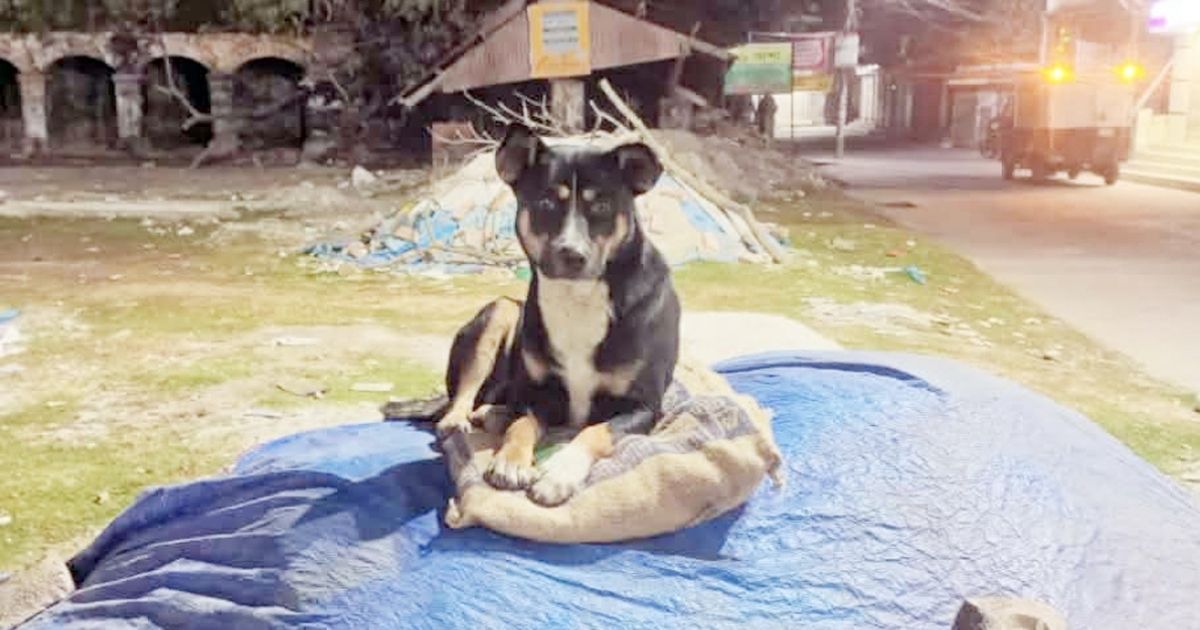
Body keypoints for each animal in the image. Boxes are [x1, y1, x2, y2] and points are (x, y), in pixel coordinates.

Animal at [417, 123, 680, 507]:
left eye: (602, 205)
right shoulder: (537, 397)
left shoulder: (642, 406)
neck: (578, 297)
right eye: (545, 203)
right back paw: (463, 418)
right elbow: (521, 424)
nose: (572, 254)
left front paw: (559, 474)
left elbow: (594, 432)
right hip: (501, 310)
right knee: (463, 398)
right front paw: (510, 461)